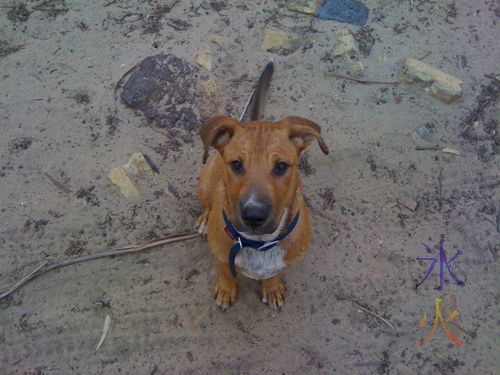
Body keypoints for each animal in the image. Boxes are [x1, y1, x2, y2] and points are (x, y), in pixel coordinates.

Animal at [197, 116, 330, 310]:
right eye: (236, 164)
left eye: (281, 166)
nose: (253, 217)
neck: (258, 242)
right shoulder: (220, 253)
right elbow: (225, 270)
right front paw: (226, 289)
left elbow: (273, 272)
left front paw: (272, 288)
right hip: (205, 185)